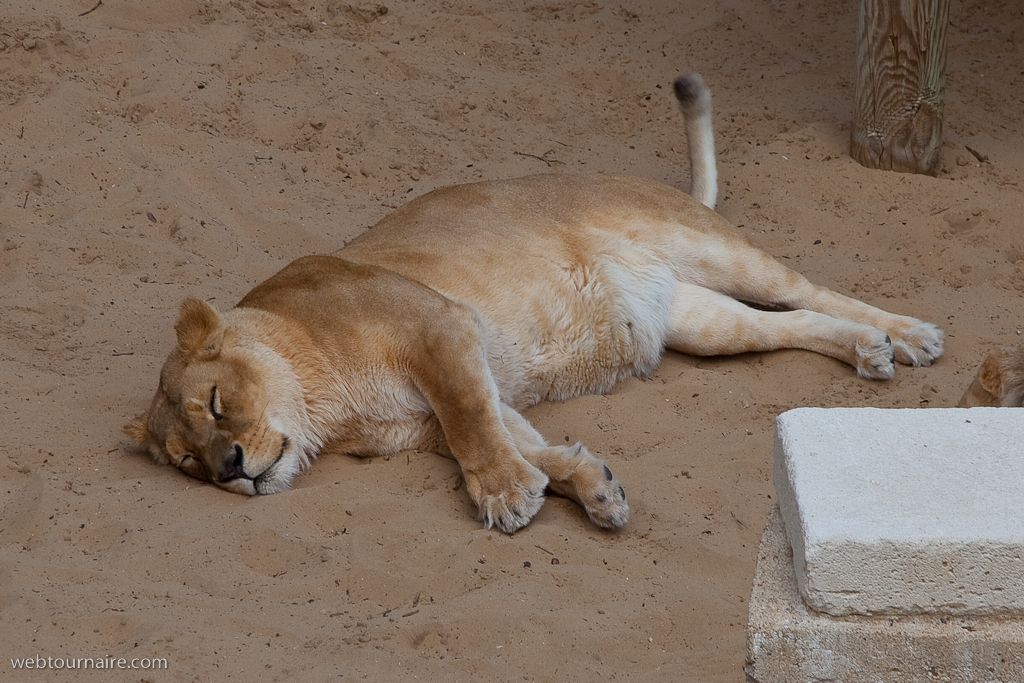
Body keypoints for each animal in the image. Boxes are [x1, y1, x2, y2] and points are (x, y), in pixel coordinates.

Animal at [125, 74, 944, 533]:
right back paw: (865, 350)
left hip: (712, 250)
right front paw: (590, 488)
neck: (331, 407)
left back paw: (908, 334)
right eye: (187, 461)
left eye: (219, 405)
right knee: (791, 324)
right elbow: (516, 437)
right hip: (701, 323)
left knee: (808, 290)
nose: (231, 469)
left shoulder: (442, 332)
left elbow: (476, 431)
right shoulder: (435, 410)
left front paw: (507, 497)